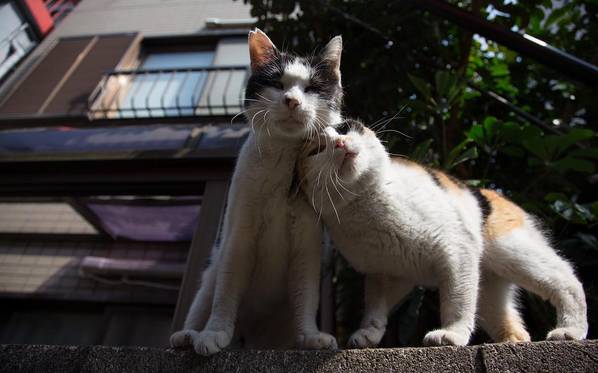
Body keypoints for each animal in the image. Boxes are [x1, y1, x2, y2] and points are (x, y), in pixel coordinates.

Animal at [171, 29, 344, 354]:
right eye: (277, 84)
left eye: (312, 88)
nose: (292, 101)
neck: (283, 160)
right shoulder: (239, 235)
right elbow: (227, 292)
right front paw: (213, 332)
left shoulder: (308, 245)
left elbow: (306, 295)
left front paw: (310, 335)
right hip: (207, 280)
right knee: (203, 304)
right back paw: (187, 336)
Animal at [298, 118, 588, 346]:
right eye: (317, 150)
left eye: (343, 128)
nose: (340, 144)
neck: (367, 204)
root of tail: (498, 195)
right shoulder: (388, 272)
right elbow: (374, 307)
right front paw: (368, 333)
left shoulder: (456, 250)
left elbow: (455, 302)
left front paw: (452, 334)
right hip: (487, 284)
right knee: (510, 319)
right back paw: (513, 342)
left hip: (513, 252)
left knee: (568, 281)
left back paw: (570, 330)